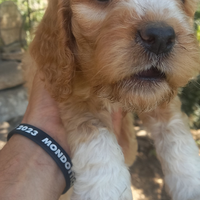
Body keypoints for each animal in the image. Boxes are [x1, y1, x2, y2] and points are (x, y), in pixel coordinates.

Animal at [26, 0, 200, 200]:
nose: (161, 38)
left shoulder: (161, 94)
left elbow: (175, 129)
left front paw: (191, 183)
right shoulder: (71, 89)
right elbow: (95, 136)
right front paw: (105, 190)